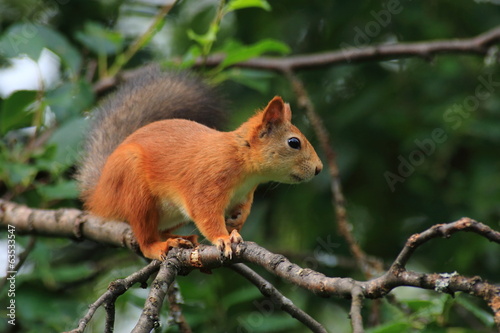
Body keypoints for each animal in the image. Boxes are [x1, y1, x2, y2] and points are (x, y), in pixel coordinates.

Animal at [76, 69, 322, 260]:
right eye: (294, 142)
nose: (319, 169)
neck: (243, 165)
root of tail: (101, 193)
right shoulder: (206, 183)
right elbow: (205, 214)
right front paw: (223, 238)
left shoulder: (244, 194)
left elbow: (240, 212)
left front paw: (235, 225)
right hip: (135, 192)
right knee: (145, 239)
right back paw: (160, 245)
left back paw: (179, 238)